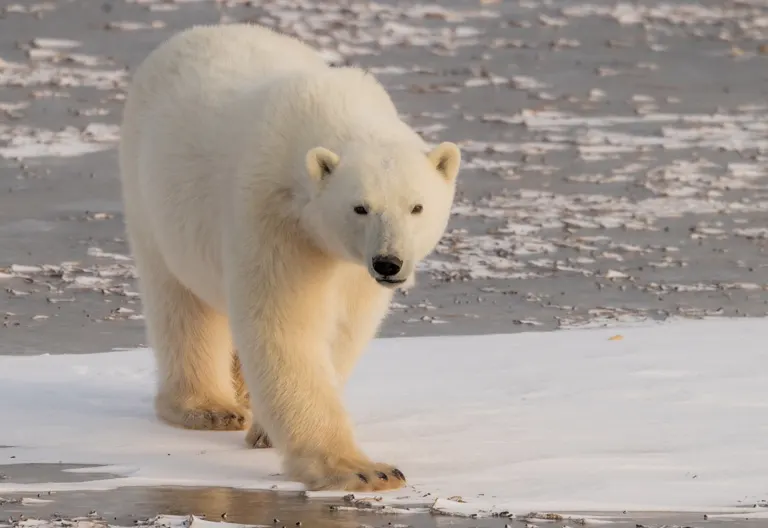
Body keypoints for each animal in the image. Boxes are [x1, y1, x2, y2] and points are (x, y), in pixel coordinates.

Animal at [118, 23, 462, 492]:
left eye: (416, 206)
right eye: (361, 207)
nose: (389, 264)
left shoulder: (351, 266)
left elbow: (343, 329)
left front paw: (266, 430)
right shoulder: (274, 217)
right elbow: (285, 326)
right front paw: (365, 470)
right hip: (150, 197)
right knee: (181, 304)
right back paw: (209, 407)